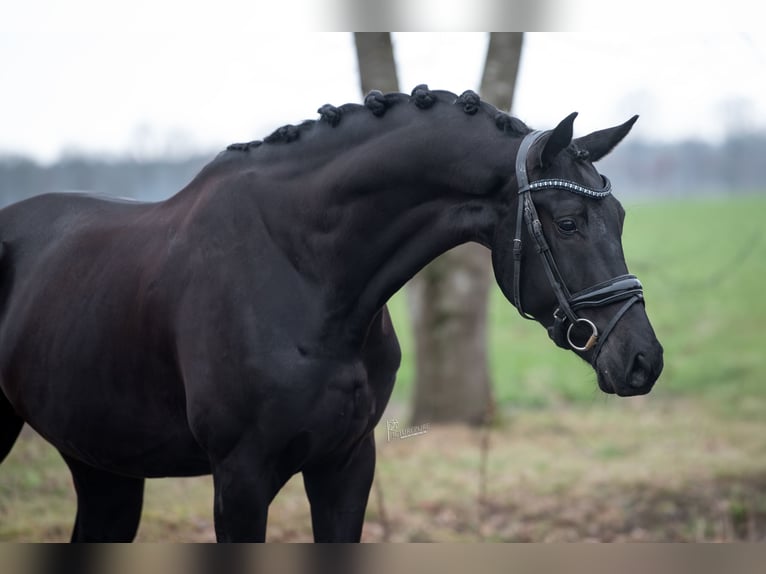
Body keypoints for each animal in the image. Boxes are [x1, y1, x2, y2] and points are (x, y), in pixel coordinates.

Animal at [0, 85, 663, 542]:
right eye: (569, 223)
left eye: (621, 218)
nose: (644, 360)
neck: (307, 276)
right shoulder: (240, 480)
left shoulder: (346, 466)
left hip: (103, 466)